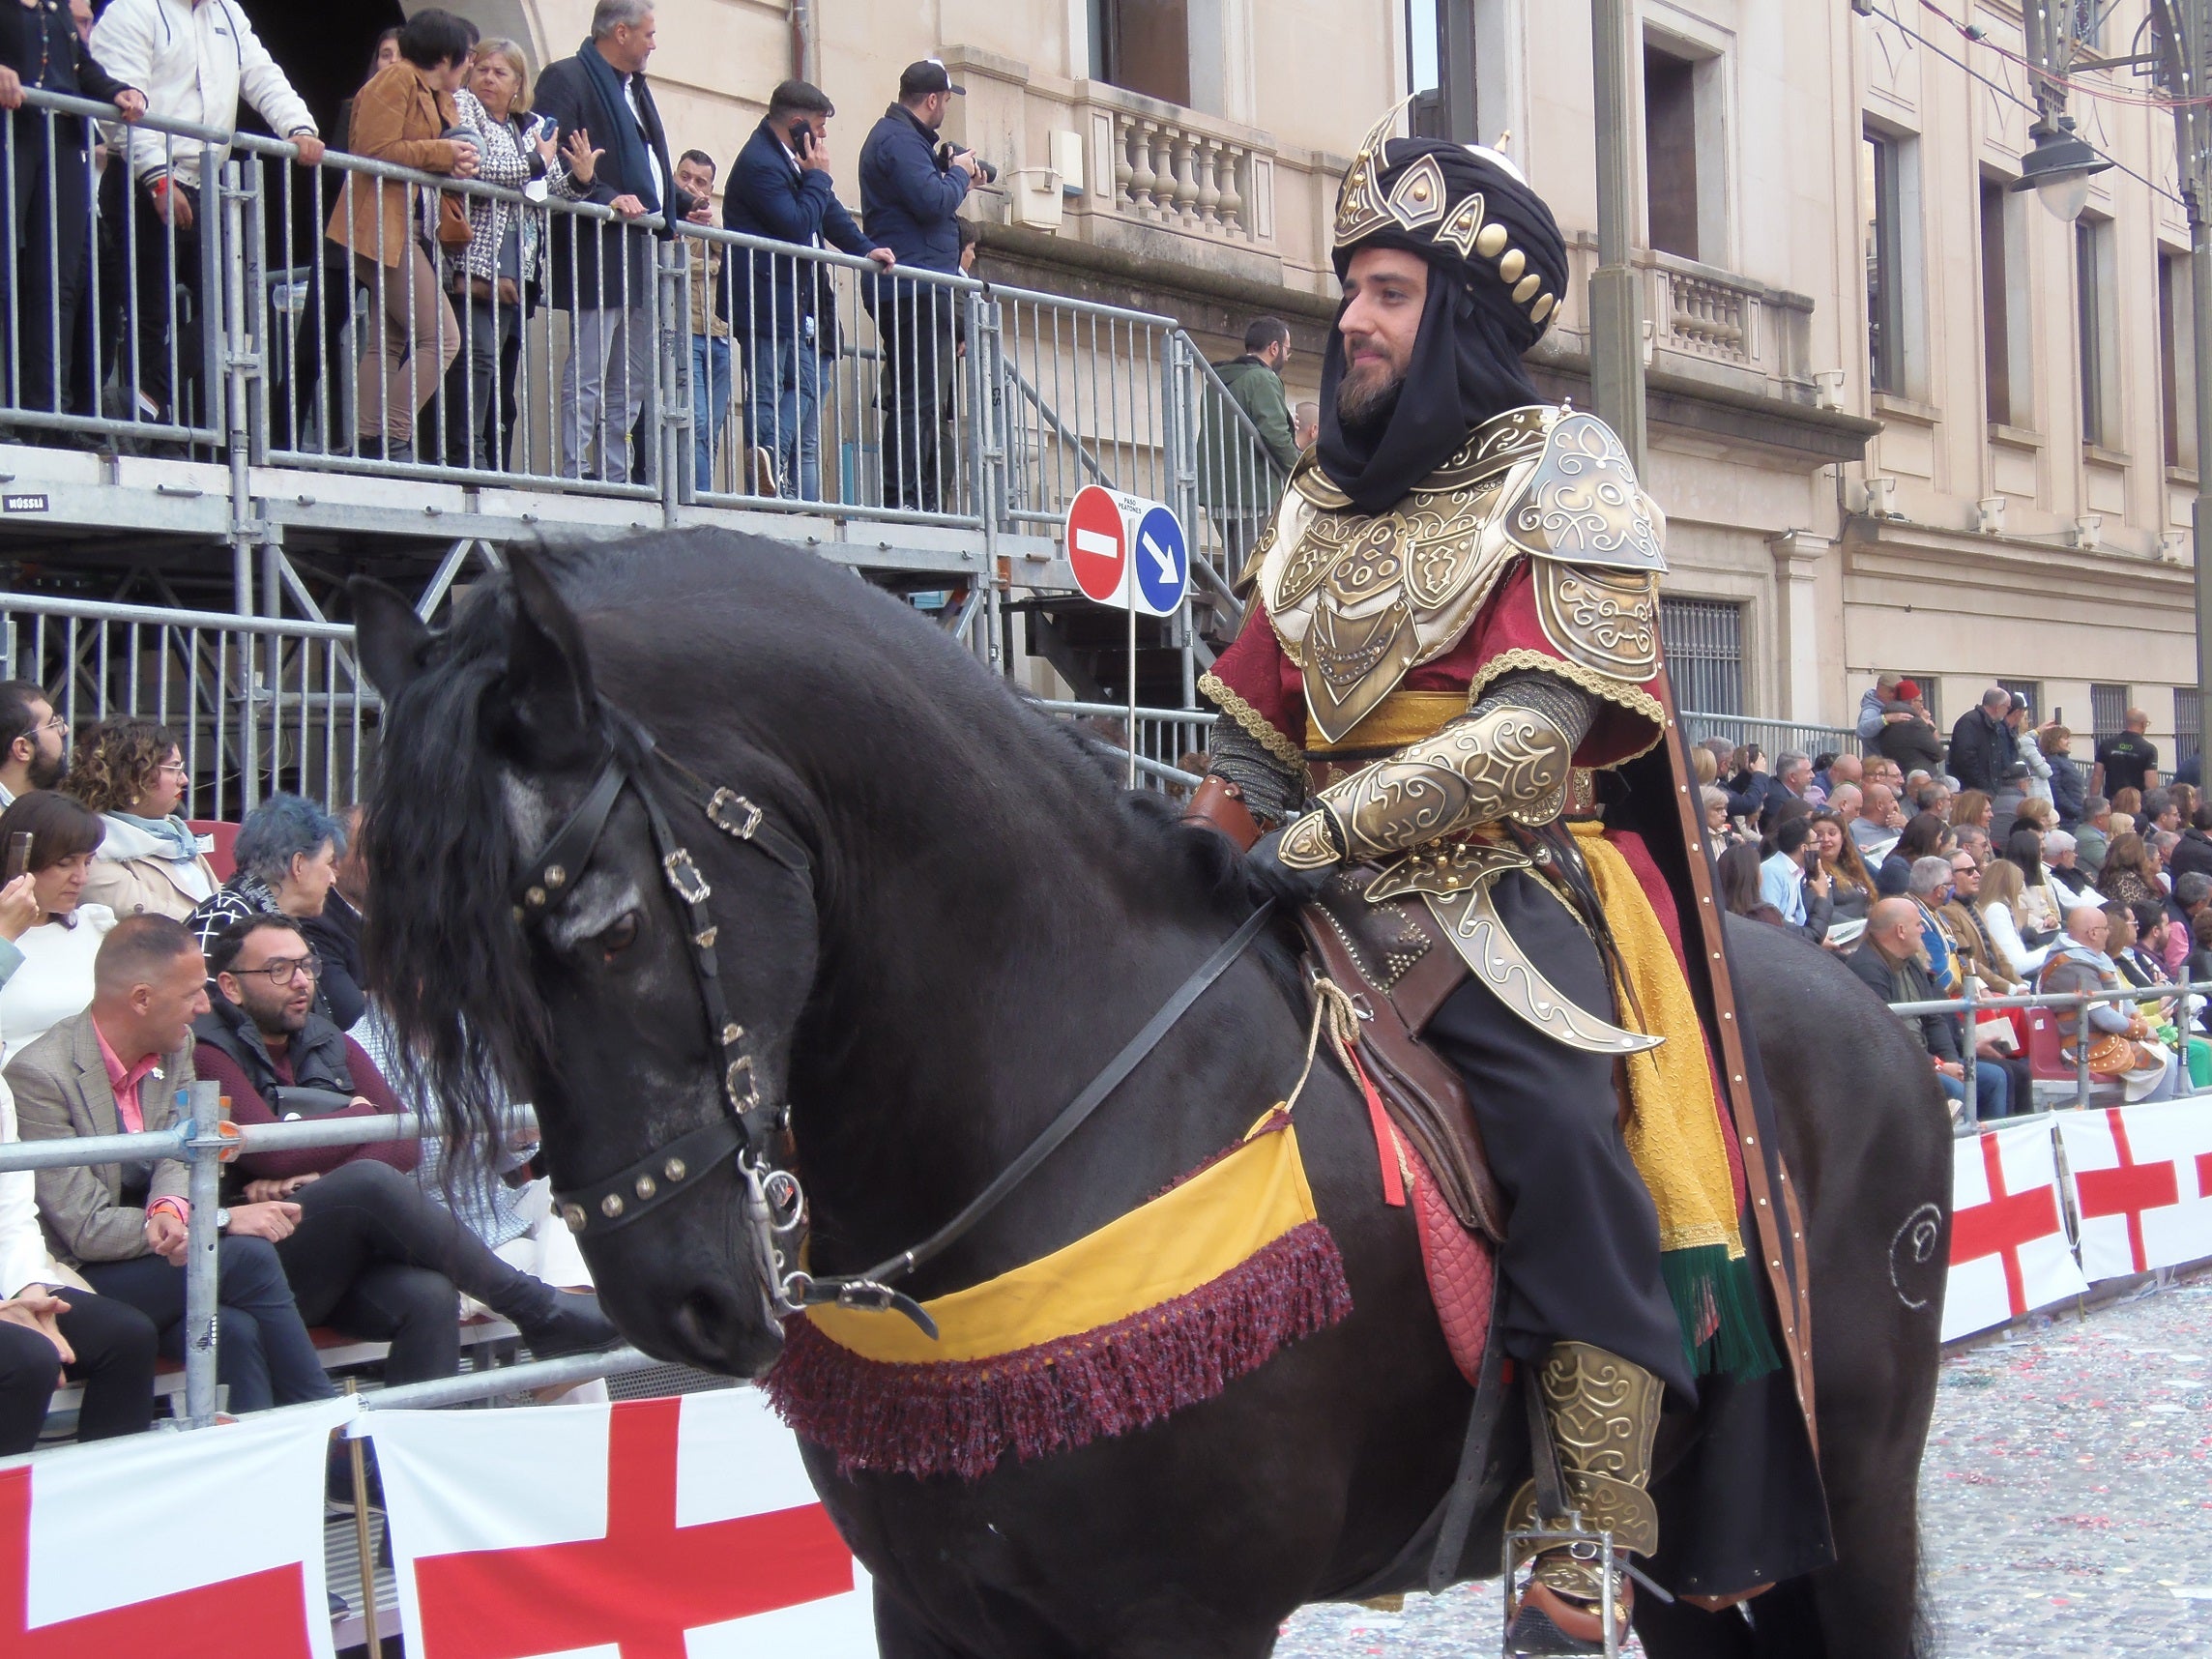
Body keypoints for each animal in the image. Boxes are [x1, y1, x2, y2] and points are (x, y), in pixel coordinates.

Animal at [349, 535, 1955, 1659]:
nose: (666, 1302)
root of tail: (1883, 1026)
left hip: (1858, 1488)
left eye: (607, 928)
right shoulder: (933, 1608)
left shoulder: (1180, 1618)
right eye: (451, 983)